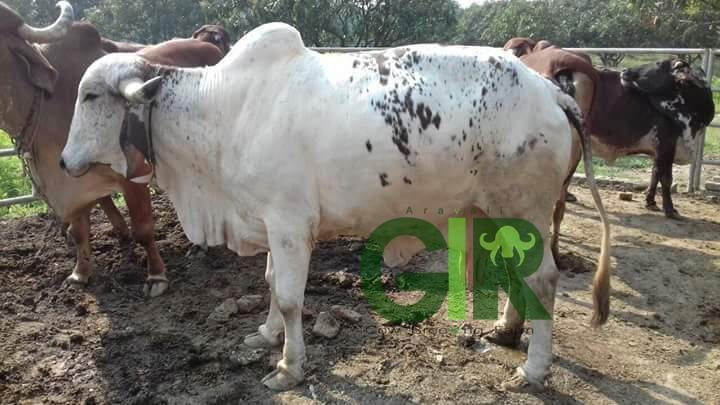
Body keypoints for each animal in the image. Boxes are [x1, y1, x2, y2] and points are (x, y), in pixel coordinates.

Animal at [0, 1, 223, 297]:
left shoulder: (132, 177)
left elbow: (143, 229)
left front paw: (156, 276)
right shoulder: (72, 184)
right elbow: (79, 232)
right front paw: (80, 273)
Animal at [59, 23, 611, 392]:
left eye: (90, 96)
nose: (64, 161)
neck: (226, 111)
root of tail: (551, 91)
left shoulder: (289, 225)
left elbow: (288, 297)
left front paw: (288, 366)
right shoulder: (271, 221)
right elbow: (269, 285)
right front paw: (265, 336)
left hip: (524, 207)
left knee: (543, 277)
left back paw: (534, 369)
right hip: (499, 212)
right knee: (518, 272)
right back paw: (505, 332)